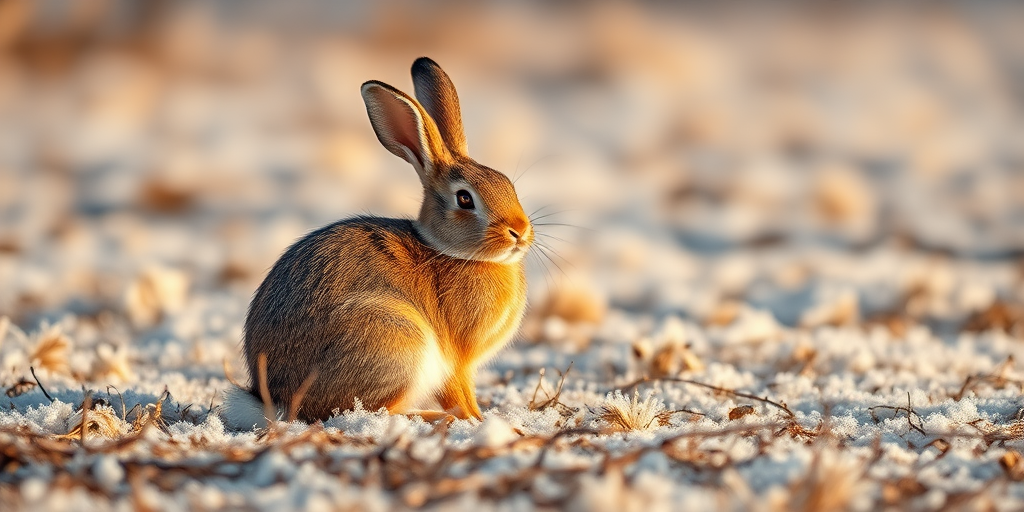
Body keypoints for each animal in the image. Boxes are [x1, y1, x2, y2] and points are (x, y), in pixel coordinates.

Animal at [220, 57, 534, 429]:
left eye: (508, 185)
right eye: (464, 199)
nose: (520, 231)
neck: (453, 252)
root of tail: (276, 401)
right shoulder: (456, 360)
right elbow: (458, 392)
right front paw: (476, 418)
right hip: (398, 343)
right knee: (372, 409)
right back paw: (431, 416)